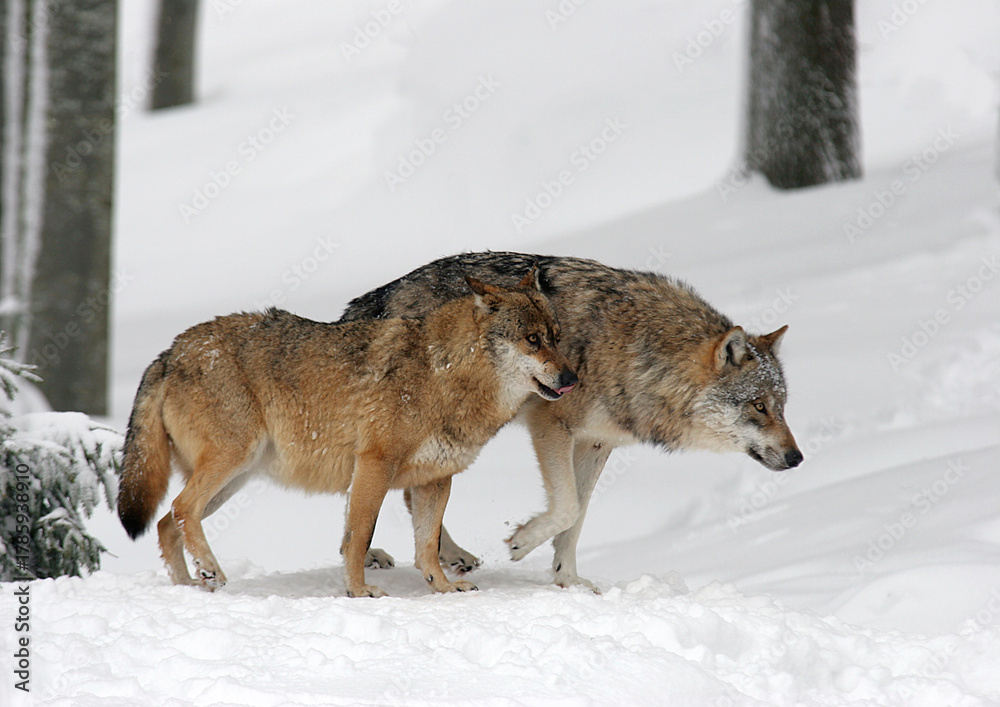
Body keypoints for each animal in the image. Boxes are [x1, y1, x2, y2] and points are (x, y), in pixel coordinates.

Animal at [117, 269, 577, 598]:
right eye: (531, 339)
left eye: (556, 337)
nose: (573, 379)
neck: (443, 373)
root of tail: (170, 351)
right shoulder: (373, 466)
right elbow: (359, 538)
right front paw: (358, 590)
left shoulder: (435, 480)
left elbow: (427, 545)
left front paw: (444, 587)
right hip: (232, 463)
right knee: (180, 509)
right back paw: (209, 570)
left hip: (234, 480)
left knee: (166, 523)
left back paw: (190, 587)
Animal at [340, 252, 802, 590]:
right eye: (758, 406)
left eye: (781, 406)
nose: (797, 458)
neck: (638, 349)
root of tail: (371, 299)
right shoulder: (553, 427)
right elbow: (567, 506)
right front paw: (521, 542)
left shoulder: (597, 443)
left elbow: (577, 517)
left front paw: (570, 580)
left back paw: (448, 555)